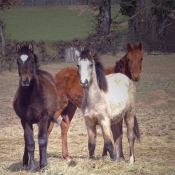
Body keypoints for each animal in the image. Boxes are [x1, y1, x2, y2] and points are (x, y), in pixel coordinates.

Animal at [13, 42, 59, 172]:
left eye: (32, 60)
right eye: (17, 61)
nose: (25, 81)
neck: (31, 97)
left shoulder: (43, 119)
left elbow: (42, 140)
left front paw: (43, 165)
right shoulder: (25, 120)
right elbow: (30, 143)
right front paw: (33, 167)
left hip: (48, 120)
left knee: (45, 137)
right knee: (26, 139)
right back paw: (25, 161)